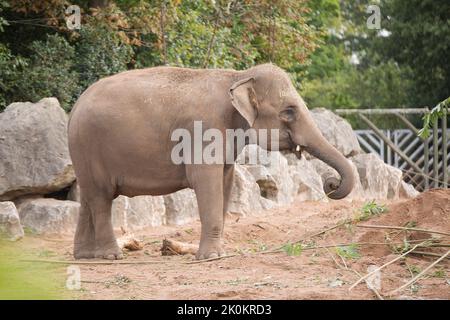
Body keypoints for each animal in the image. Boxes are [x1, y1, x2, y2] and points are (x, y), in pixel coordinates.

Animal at [67, 63, 356, 260]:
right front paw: (211, 257)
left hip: (83, 152)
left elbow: (225, 182)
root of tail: (75, 107)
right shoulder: (204, 131)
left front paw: (218, 252)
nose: (331, 184)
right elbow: (206, 181)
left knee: (88, 197)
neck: (238, 75)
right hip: (90, 145)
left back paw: (84, 256)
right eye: (288, 112)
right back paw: (111, 256)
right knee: (101, 198)